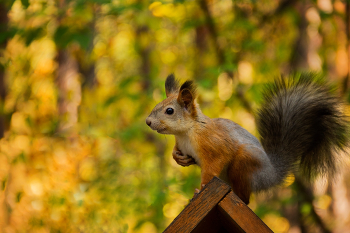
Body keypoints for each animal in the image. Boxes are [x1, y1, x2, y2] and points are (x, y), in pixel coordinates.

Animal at [144, 73, 348, 204]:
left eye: (169, 111)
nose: (148, 121)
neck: (186, 132)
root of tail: (271, 175)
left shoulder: (214, 144)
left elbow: (213, 167)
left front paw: (200, 190)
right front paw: (178, 158)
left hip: (244, 163)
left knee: (245, 199)